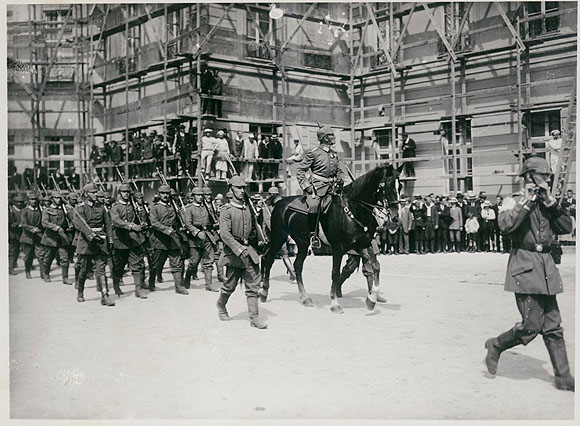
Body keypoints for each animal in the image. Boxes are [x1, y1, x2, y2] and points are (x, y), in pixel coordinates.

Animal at [260, 163, 402, 312]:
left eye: (400, 186)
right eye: (388, 185)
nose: (395, 217)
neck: (352, 210)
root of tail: (280, 201)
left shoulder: (362, 245)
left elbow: (376, 266)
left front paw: (372, 299)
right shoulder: (338, 248)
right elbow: (335, 272)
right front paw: (334, 303)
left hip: (302, 243)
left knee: (297, 265)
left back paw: (305, 298)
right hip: (279, 237)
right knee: (268, 259)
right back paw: (264, 292)